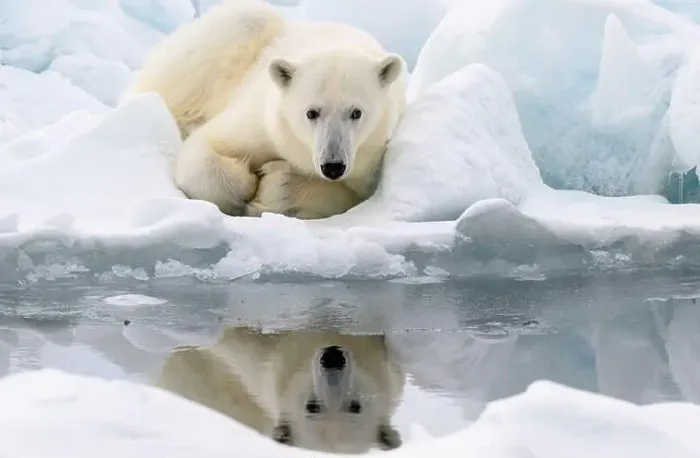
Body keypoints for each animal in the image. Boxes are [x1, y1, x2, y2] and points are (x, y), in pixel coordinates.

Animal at [122, 0, 407, 219]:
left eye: (356, 112)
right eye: (311, 112)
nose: (333, 165)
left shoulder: (368, 161)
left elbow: (346, 196)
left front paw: (272, 186)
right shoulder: (261, 120)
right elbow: (206, 148)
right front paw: (245, 185)